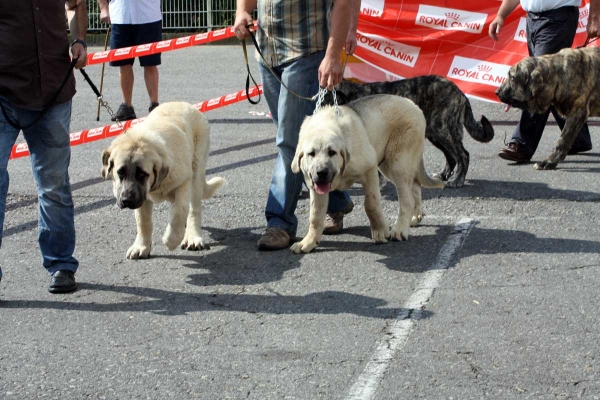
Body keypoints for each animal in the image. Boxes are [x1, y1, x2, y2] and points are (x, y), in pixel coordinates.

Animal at [326, 75, 494, 188]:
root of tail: (460, 93)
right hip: (434, 133)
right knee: (451, 156)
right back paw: (443, 175)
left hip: (442, 129)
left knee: (463, 155)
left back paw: (458, 180)